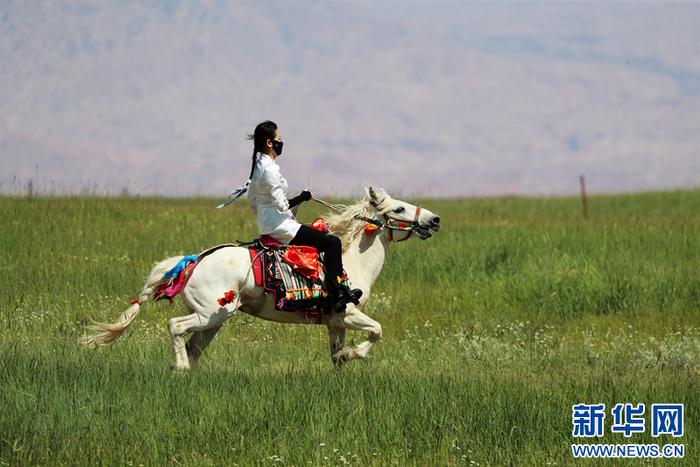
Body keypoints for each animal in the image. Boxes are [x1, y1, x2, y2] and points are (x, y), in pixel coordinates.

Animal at [82, 186, 440, 370]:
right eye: (399, 210)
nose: (435, 219)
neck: (351, 260)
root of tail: (195, 260)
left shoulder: (335, 322)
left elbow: (336, 359)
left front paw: (343, 358)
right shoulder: (348, 313)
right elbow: (377, 331)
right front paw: (355, 353)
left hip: (212, 321)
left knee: (194, 347)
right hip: (213, 312)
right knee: (175, 328)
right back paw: (180, 367)